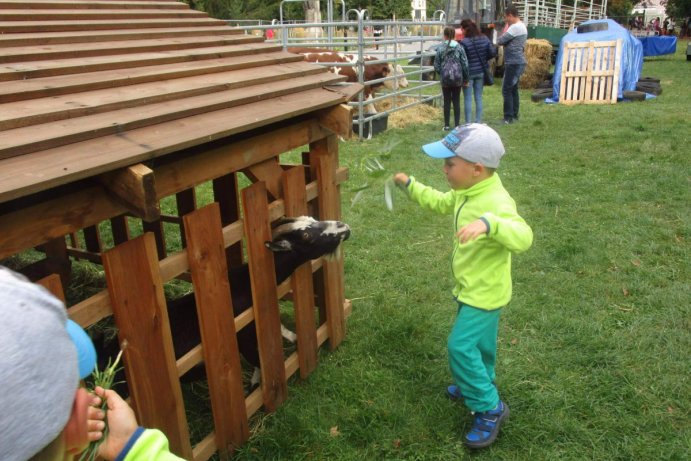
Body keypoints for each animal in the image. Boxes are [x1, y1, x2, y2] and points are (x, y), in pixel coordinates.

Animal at [97, 216, 352, 392]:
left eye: (312, 219)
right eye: (306, 236)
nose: (344, 228)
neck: (244, 283)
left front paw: (293, 337)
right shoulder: (243, 334)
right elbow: (258, 360)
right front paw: (255, 386)